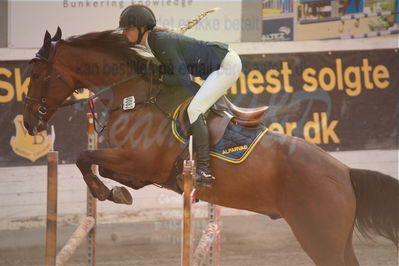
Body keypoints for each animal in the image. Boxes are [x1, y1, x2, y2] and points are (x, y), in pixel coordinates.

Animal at [23, 28, 398, 264]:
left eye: (37, 74)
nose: (28, 123)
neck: (134, 96)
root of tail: (345, 172)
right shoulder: (139, 166)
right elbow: (103, 166)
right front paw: (119, 191)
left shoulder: (138, 159)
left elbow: (84, 157)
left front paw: (105, 192)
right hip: (335, 240)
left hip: (320, 239)